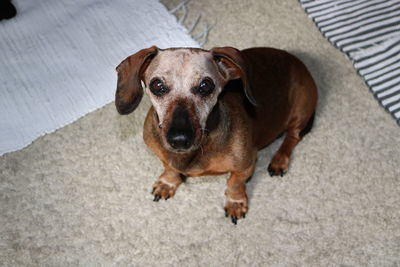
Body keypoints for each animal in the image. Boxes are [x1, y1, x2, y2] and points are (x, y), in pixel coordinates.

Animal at [115, 46, 318, 224]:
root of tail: (296, 61)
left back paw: (279, 160)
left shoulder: (246, 165)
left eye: (206, 85)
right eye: (157, 85)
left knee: (293, 137)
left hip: (301, 109)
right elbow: (170, 167)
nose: (179, 140)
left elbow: (235, 183)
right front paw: (168, 183)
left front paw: (235, 203)